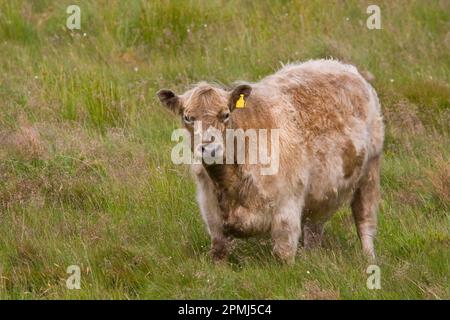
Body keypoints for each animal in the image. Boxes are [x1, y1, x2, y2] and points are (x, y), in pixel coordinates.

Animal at [157, 58, 384, 264]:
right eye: (188, 117)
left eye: (225, 114)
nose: (209, 148)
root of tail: (340, 65)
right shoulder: (213, 218)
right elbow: (219, 254)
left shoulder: (287, 213)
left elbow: (284, 257)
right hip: (322, 194)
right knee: (314, 229)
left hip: (369, 172)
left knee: (365, 221)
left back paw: (369, 259)